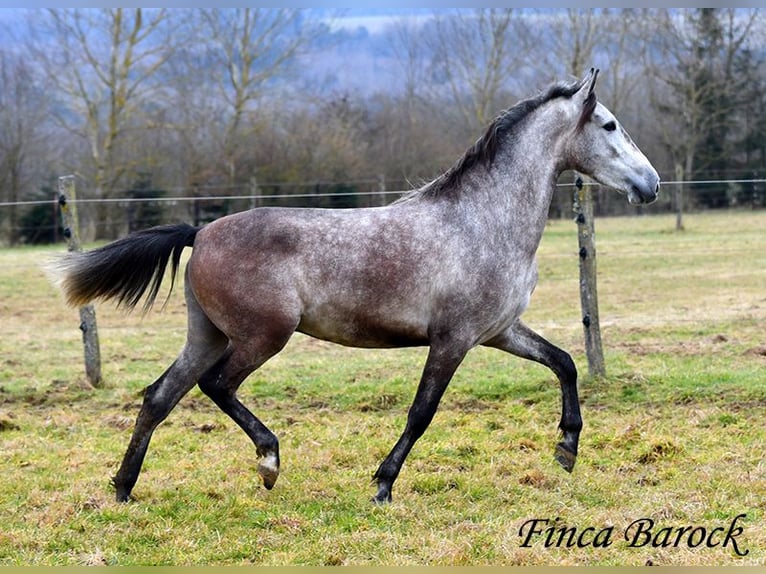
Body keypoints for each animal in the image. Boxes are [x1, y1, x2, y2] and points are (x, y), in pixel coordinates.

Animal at [51, 70, 660, 506]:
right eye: (609, 126)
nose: (650, 184)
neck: (481, 220)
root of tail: (200, 232)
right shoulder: (454, 339)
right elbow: (421, 412)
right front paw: (383, 485)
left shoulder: (500, 331)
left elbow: (565, 363)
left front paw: (566, 450)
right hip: (261, 337)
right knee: (216, 387)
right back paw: (268, 463)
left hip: (208, 335)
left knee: (159, 396)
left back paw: (124, 489)